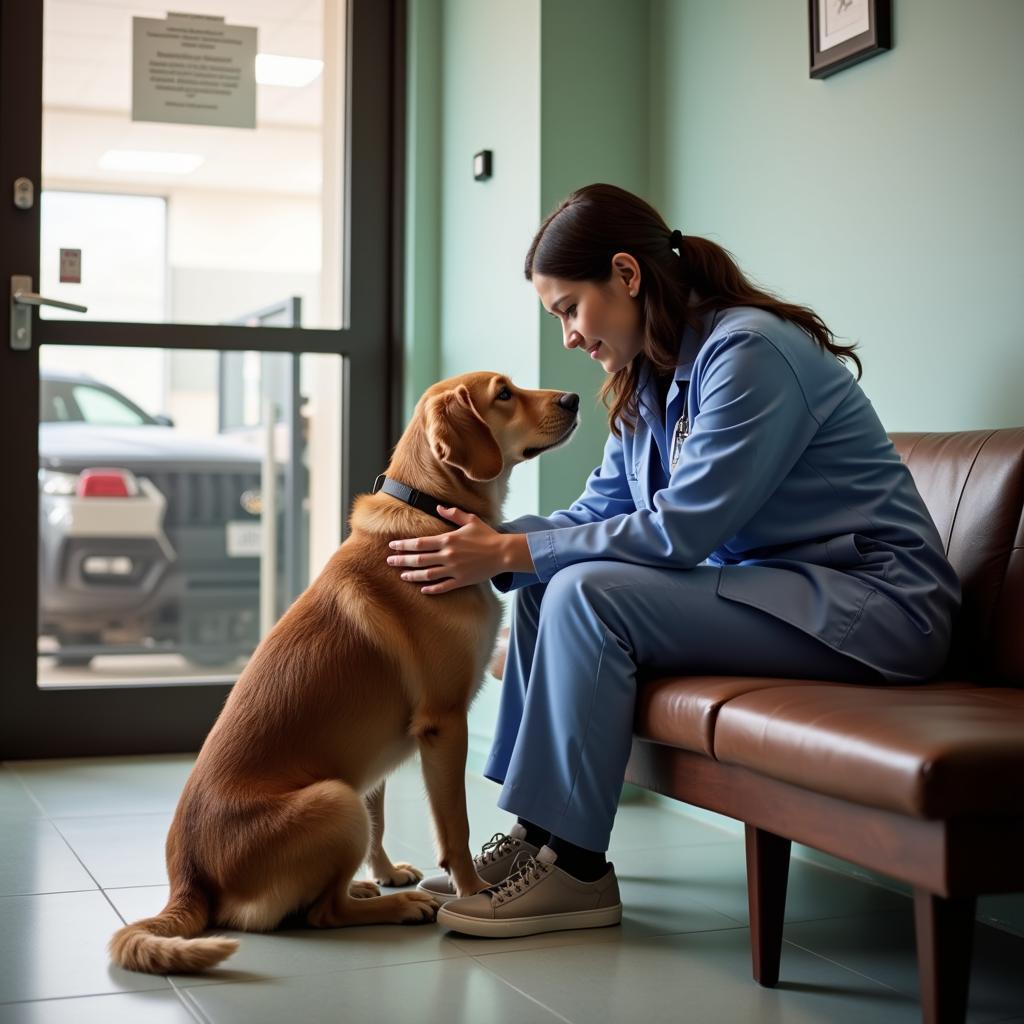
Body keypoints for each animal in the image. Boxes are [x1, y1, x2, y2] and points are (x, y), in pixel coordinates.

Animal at [111, 372, 581, 970]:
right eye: (503, 393)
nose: (572, 399)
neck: (429, 509)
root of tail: (187, 878)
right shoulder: (444, 724)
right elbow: (455, 825)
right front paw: (475, 891)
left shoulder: (372, 754)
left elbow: (381, 817)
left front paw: (385, 871)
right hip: (336, 800)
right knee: (322, 914)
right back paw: (396, 906)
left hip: (345, 794)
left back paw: (366, 885)